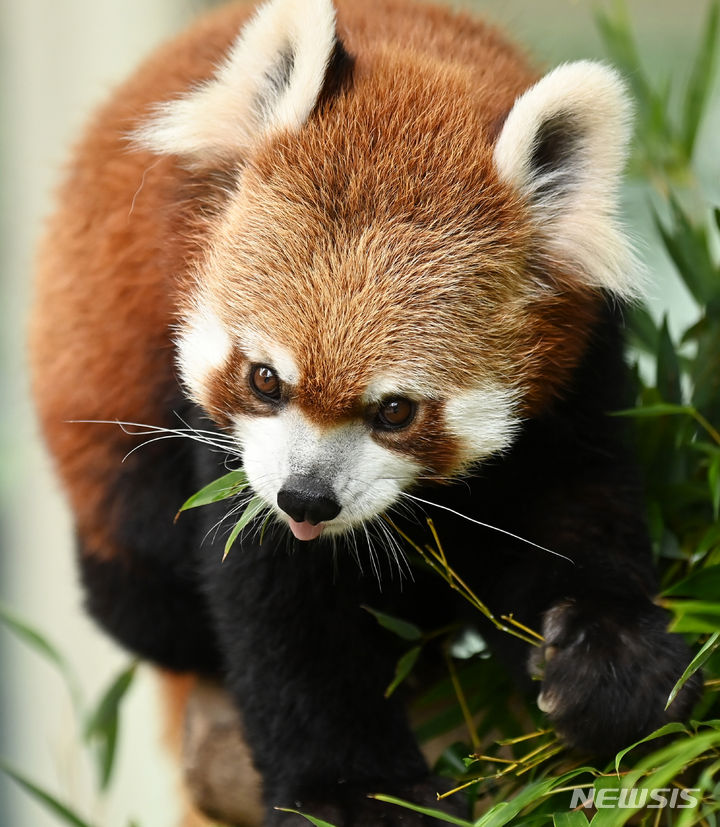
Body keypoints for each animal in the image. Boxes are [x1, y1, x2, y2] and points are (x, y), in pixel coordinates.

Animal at [31, 0, 700, 824]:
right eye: (265, 378)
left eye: (395, 410)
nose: (307, 498)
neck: (423, 71)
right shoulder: (227, 448)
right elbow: (282, 603)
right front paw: (352, 790)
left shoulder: (575, 360)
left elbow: (576, 499)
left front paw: (611, 661)